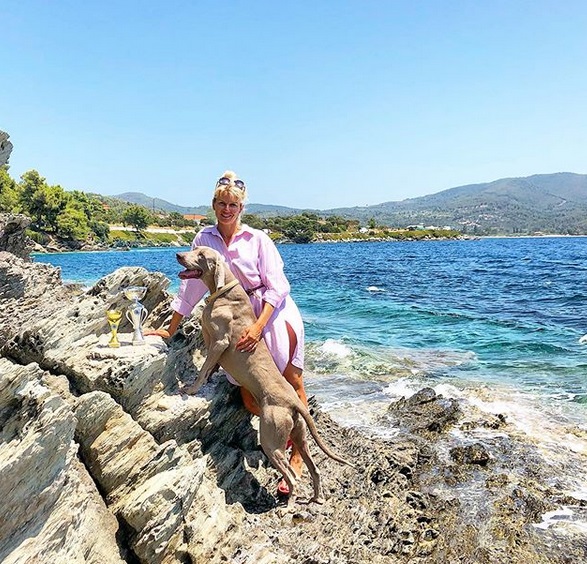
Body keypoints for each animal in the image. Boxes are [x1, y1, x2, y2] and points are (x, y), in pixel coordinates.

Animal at [176, 247, 354, 502]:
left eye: (200, 255)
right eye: (193, 250)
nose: (178, 255)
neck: (223, 291)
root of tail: (293, 402)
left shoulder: (219, 342)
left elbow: (203, 369)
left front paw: (191, 388)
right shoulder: (212, 343)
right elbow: (210, 367)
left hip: (271, 438)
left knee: (291, 476)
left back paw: (287, 502)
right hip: (299, 434)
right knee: (314, 469)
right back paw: (316, 497)